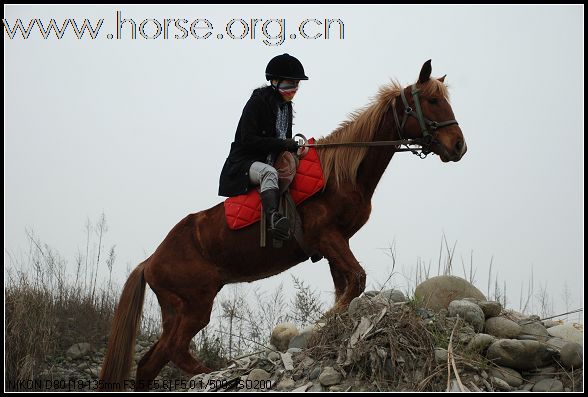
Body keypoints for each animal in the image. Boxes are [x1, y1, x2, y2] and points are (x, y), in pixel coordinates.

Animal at [99, 59, 466, 390]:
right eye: (432, 101)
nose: (459, 146)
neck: (342, 173)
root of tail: (151, 261)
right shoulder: (328, 237)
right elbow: (356, 280)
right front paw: (324, 322)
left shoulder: (335, 244)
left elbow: (346, 286)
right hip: (195, 305)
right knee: (176, 350)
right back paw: (221, 373)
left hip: (175, 309)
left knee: (151, 363)